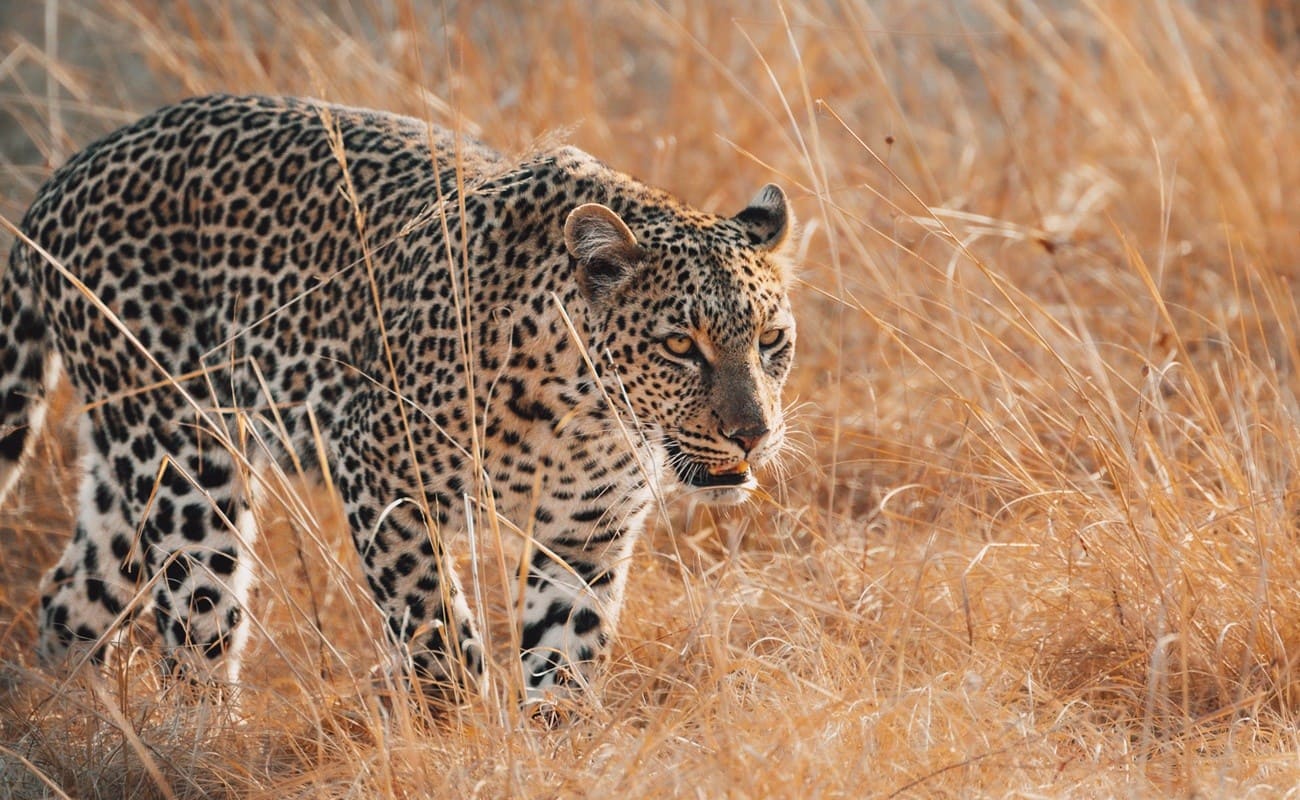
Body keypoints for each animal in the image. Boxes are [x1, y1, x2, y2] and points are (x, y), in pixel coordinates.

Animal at [0, 94, 795, 707]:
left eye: (772, 340)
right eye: (680, 346)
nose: (752, 434)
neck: (585, 415)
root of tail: (62, 177)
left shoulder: (582, 536)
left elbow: (564, 656)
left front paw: (553, 746)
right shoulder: (383, 476)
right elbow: (435, 627)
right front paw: (464, 725)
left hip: (128, 466)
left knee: (70, 594)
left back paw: (84, 724)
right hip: (184, 462)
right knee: (197, 623)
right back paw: (194, 741)